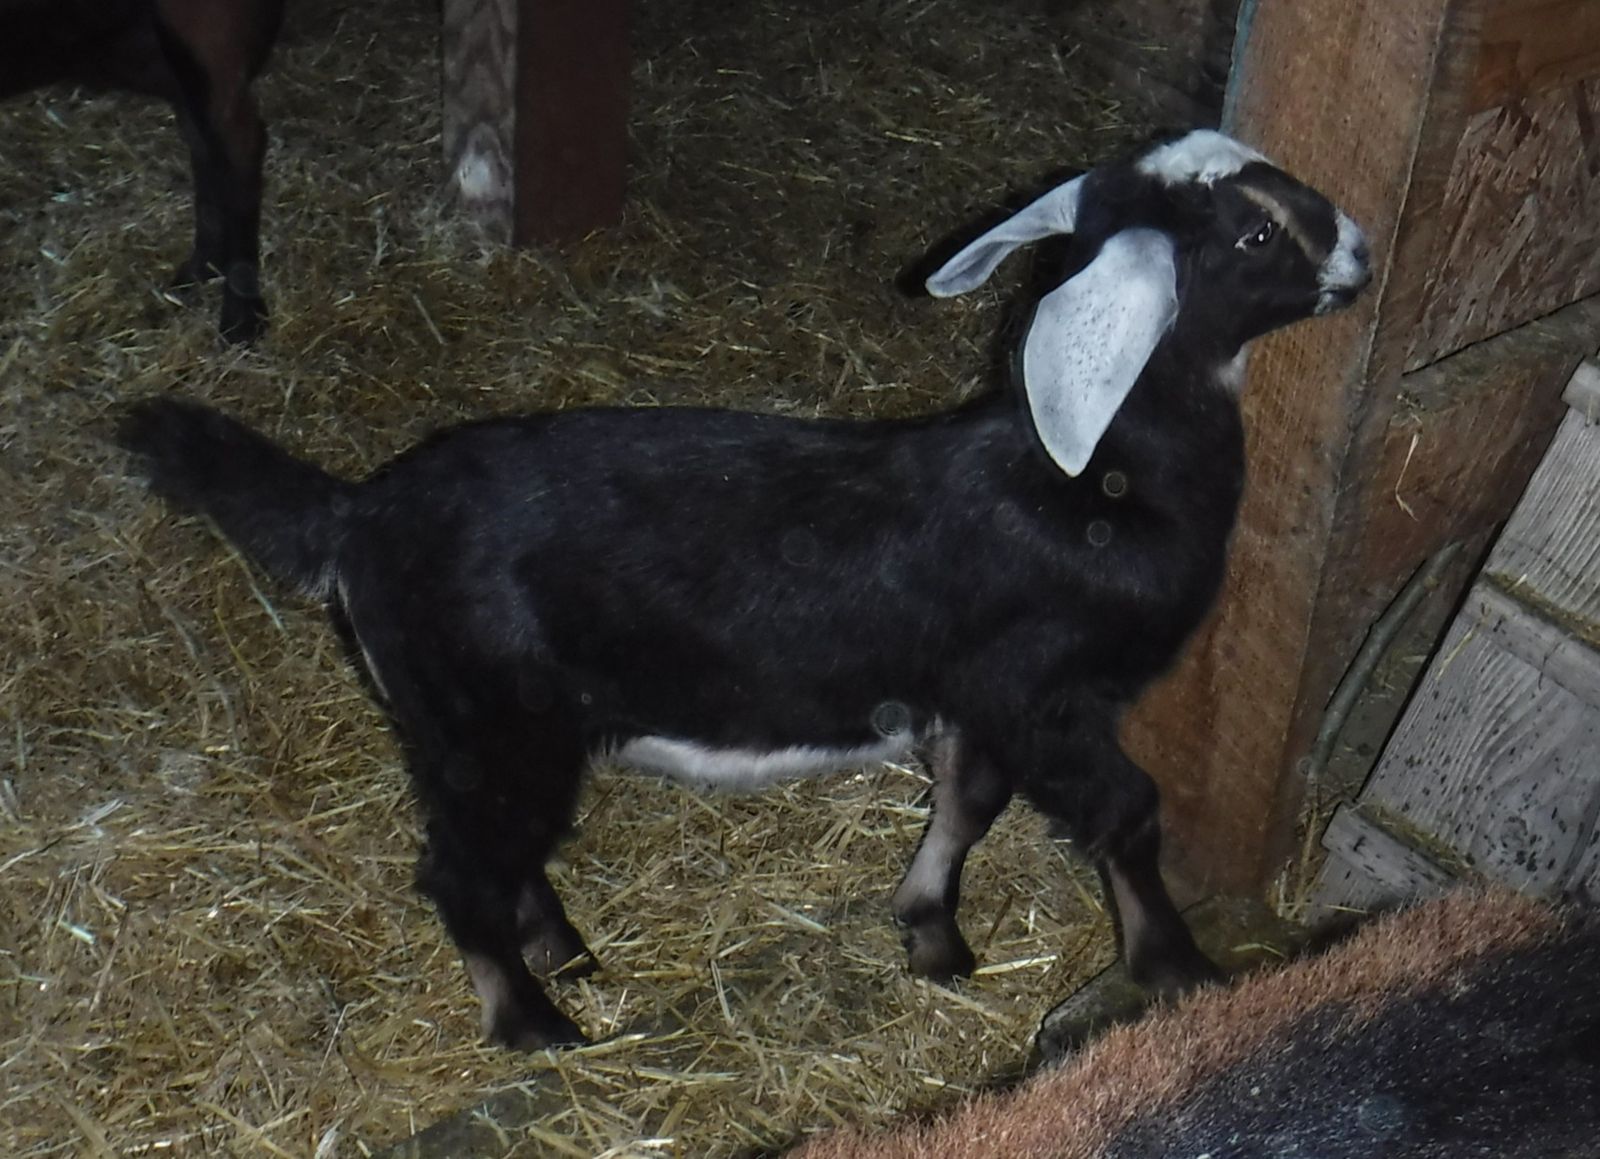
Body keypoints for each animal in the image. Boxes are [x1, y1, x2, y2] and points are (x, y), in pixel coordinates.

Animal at [119, 129, 1372, 1050]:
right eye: (1256, 230)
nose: (1360, 250)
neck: (1095, 479)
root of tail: (355, 520)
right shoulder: (1047, 696)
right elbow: (1124, 813)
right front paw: (1179, 969)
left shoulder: (974, 698)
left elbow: (965, 803)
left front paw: (931, 933)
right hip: (487, 718)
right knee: (461, 868)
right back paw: (535, 1021)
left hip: (468, 731)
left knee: (500, 852)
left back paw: (565, 953)